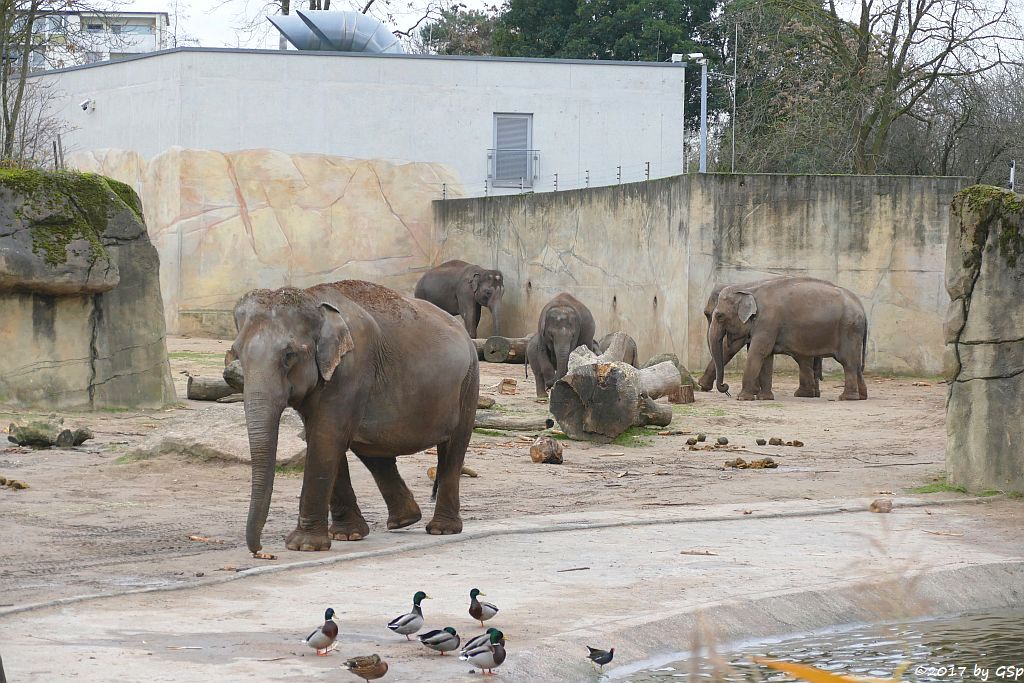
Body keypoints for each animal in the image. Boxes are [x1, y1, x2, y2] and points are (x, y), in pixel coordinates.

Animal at [230, 280, 477, 552]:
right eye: (237, 354)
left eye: (289, 355)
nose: (258, 551)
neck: (313, 298)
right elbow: (319, 435)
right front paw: (346, 536)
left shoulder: (353, 367)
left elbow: (326, 436)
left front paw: (303, 546)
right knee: (372, 449)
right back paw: (404, 520)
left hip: (468, 382)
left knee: (454, 447)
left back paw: (442, 529)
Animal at [708, 278, 868, 401]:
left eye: (719, 316)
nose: (726, 388)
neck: (749, 288)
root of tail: (862, 307)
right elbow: (767, 357)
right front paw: (765, 398)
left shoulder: (768, 322)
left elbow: (758, 353)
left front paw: (742, 398)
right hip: (853, 332)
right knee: (856, 364)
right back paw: (861, 397)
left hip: (849, 329)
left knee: (848, 362)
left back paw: (846, 398)